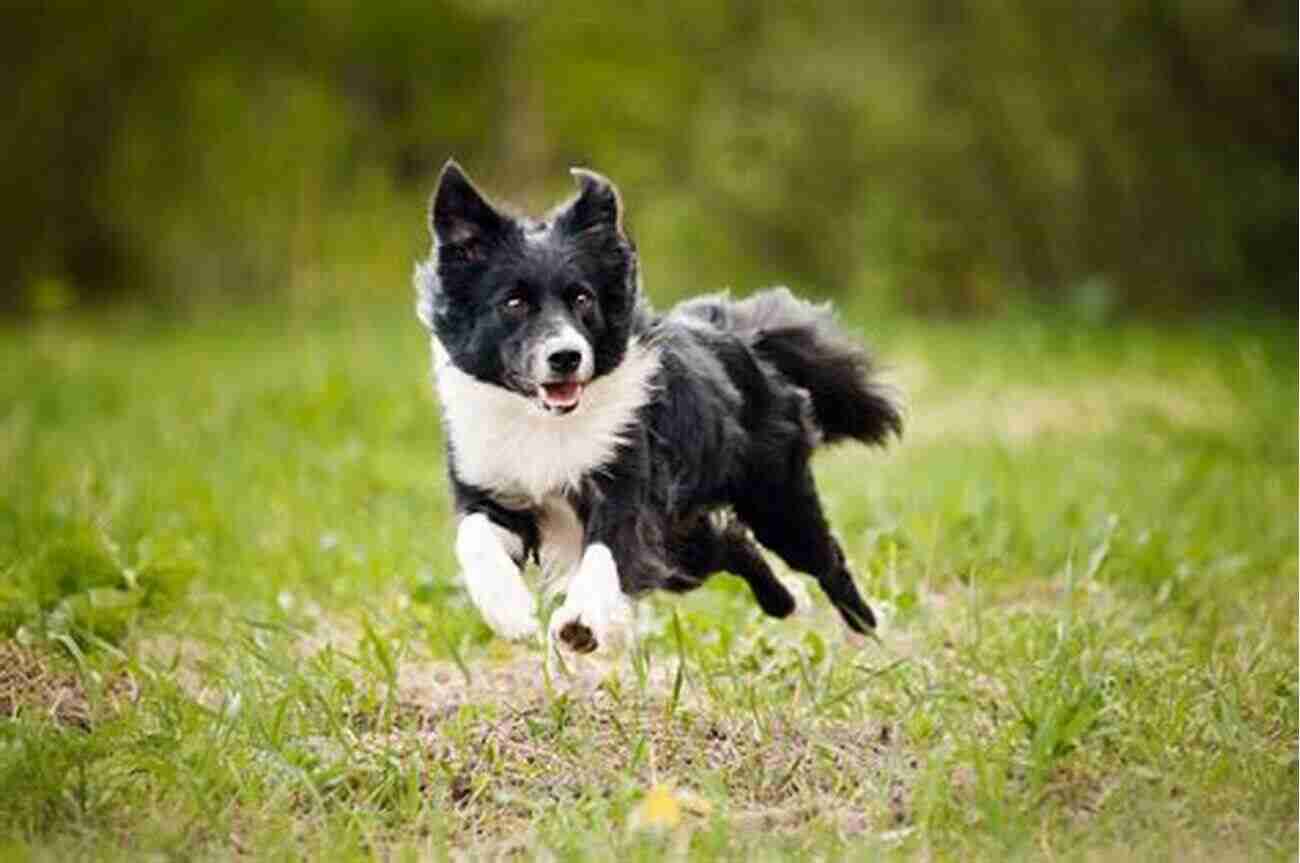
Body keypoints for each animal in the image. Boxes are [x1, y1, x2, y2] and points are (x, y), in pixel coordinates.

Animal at [410, 159, 899, 655]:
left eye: (582, 298)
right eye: (513, 302)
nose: (566, 357)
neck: (546, 422)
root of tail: (740, 336)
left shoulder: (628, 483)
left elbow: (607, 551)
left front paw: (580, 622)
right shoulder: (491, 485)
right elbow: (473, 536)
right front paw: (508, 611)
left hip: (775, 500)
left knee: (824, 557)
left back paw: (869, 628)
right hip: (685, 540)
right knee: (731, 544)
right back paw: (788, 602)